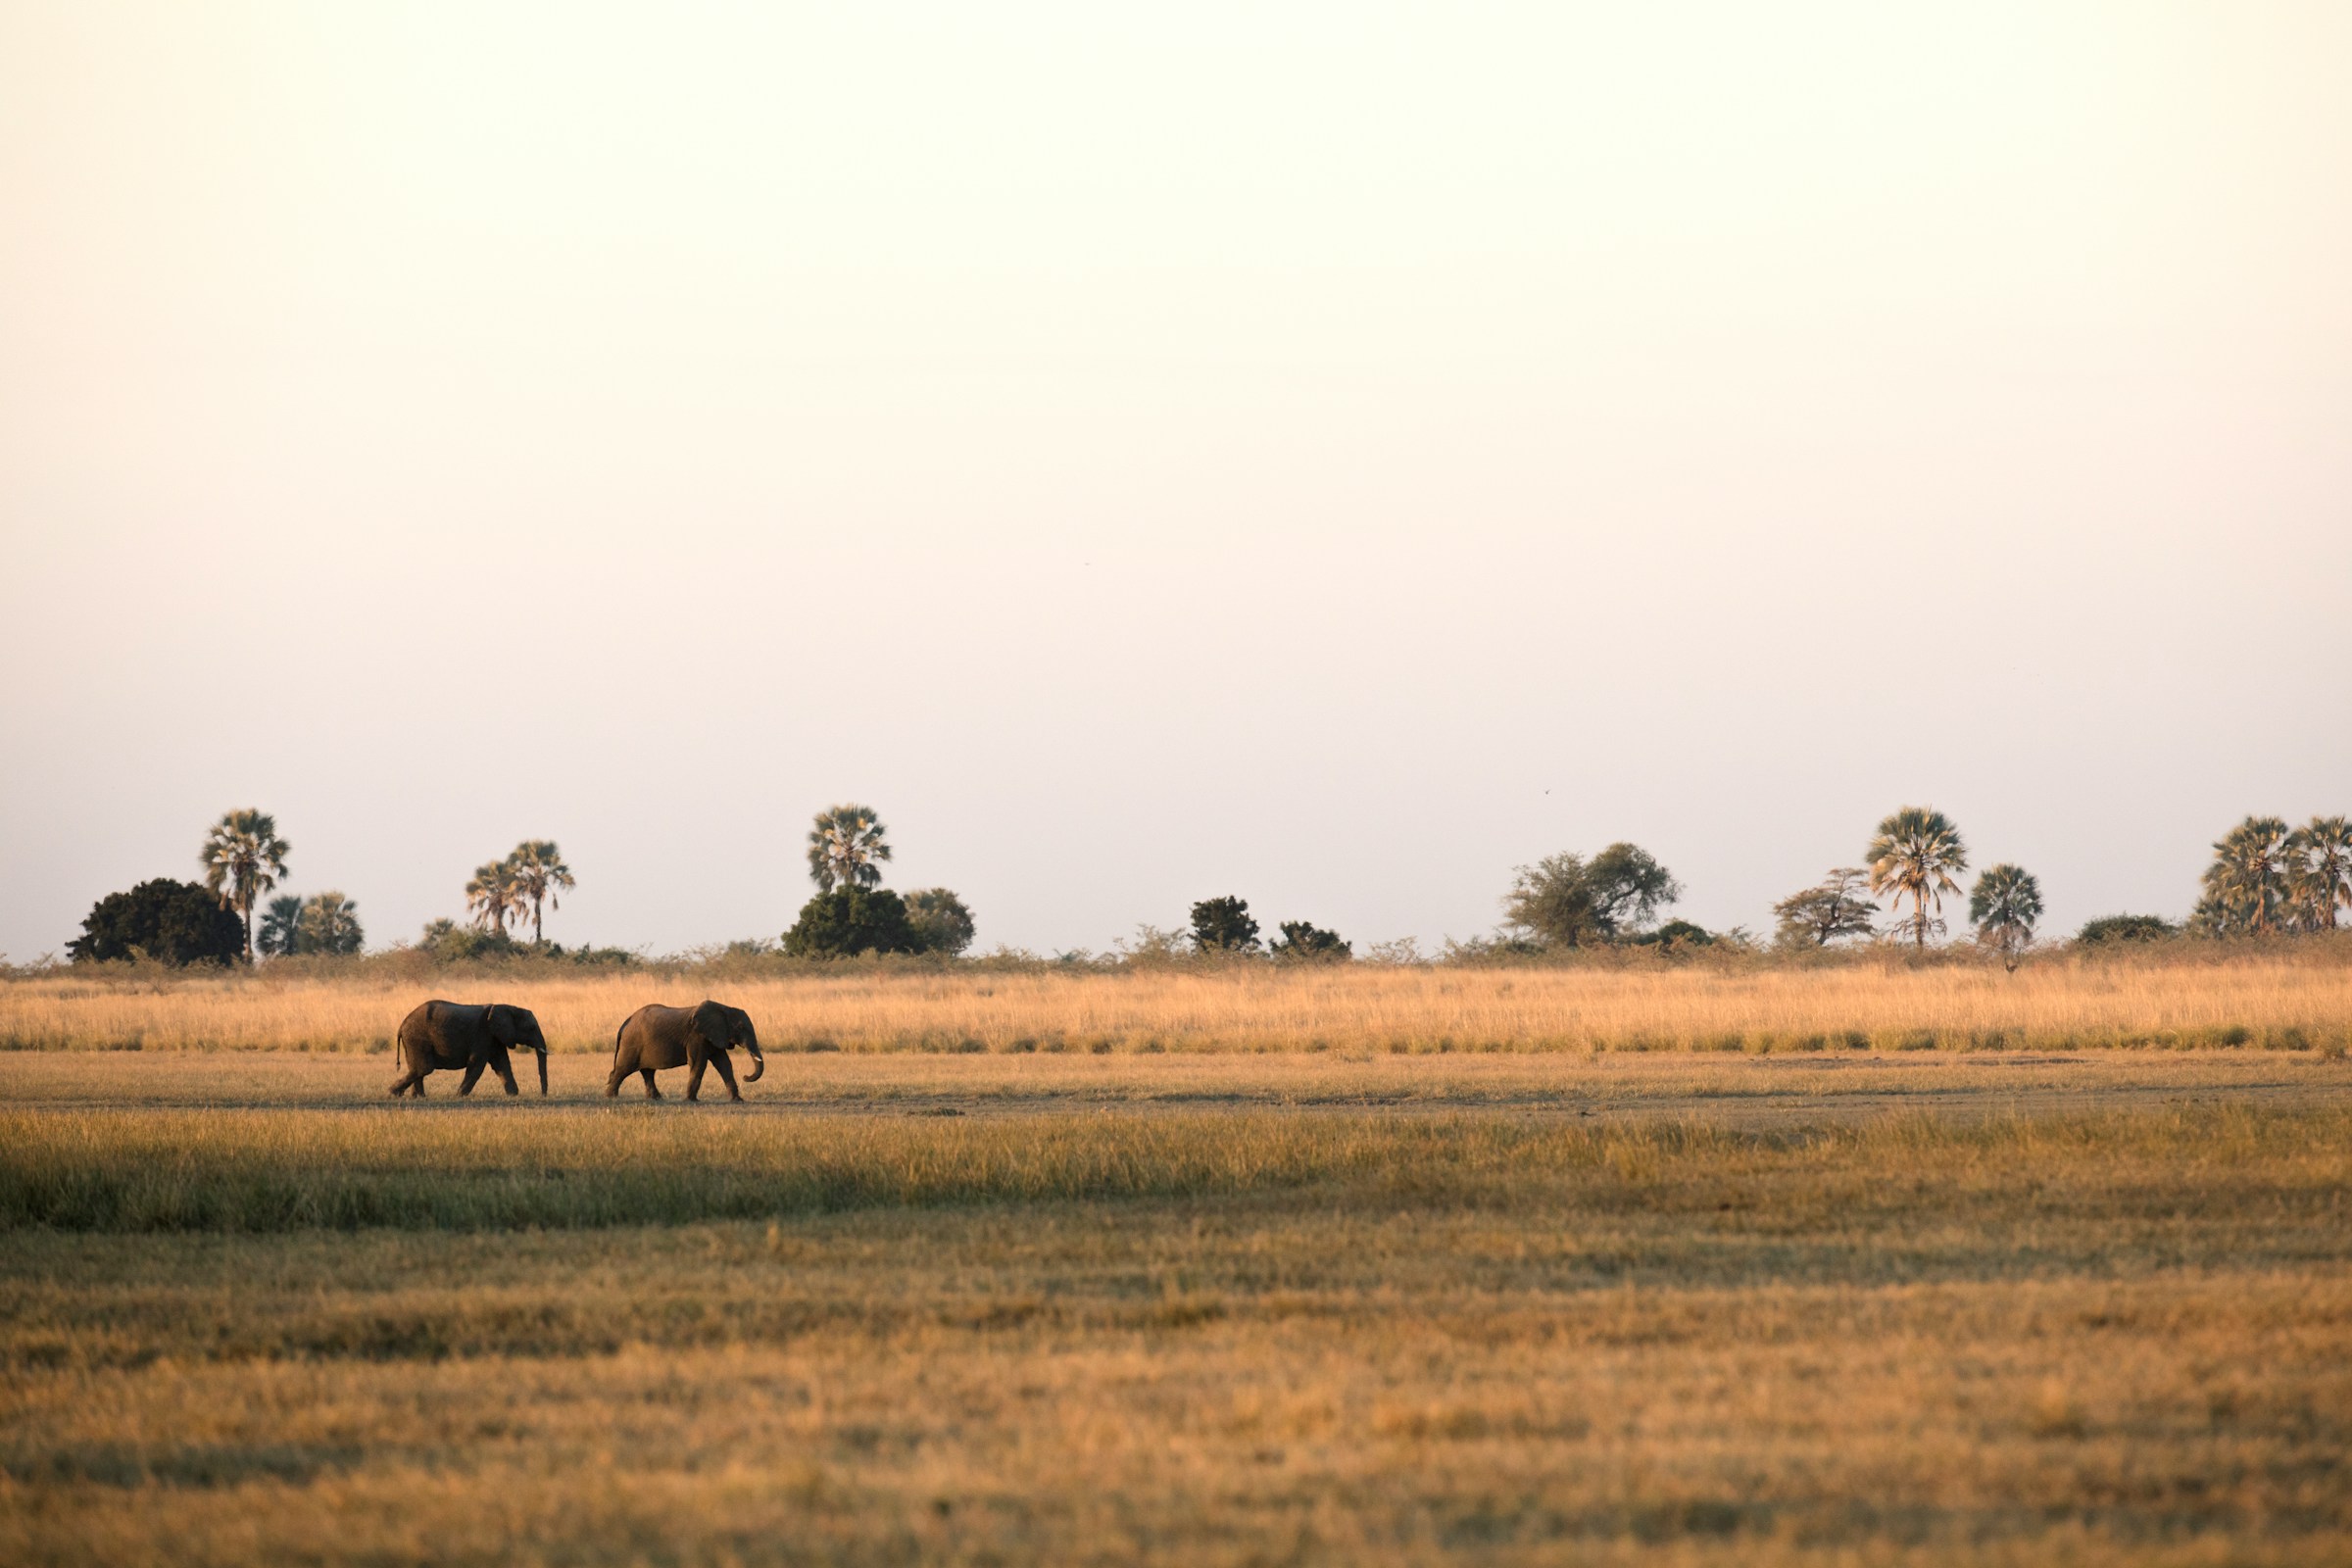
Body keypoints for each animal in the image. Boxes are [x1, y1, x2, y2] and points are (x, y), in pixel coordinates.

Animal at [389, 1000, 550, 1097]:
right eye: (531, 1028)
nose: (543, 1095)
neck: (507, 1007)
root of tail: (401, 1025)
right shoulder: (482, 1034)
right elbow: (476, 1065)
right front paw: (459, 1095)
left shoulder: (494, 1037)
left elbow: (502, 1064)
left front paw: (513, 1095)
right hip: (417, 1039)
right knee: (424, 1068)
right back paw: (394, 1093)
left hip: (413, 1042)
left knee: (417, 1068)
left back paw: (417, 1097)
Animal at [607, 1001, 764, 1101]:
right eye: (740, 1027)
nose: (745, 1076)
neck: (724, 1008)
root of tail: (625, 1022)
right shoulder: (696, 1036)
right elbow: (698, 1063)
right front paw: (691, 1100)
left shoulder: (715, 1036)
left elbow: (724, 1064)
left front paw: (738, 1100)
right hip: (631, 1043)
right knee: (623, 1069)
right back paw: (611, 1096)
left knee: (648, 1072)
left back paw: (656, 1098)